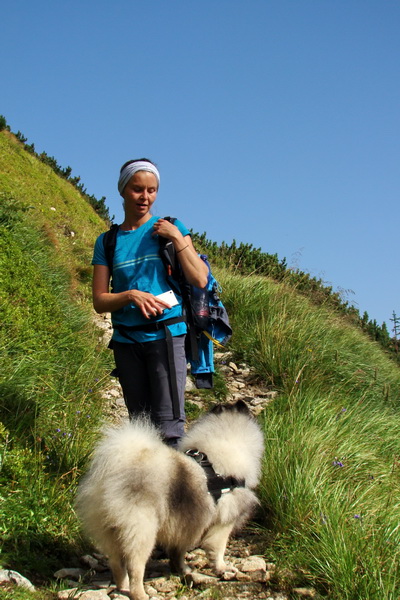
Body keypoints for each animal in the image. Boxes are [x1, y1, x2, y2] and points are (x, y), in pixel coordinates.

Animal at [75, 398, 264, 600]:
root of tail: (113, 472)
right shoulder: (223, 522)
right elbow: (217, 549)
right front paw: (222, 568)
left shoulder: (184, 525)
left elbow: (177, 552)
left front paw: (181, 569)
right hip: (142, 530)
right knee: (135, 566)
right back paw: (139, 593)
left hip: (111, 532)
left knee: (117, 564)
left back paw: (122, 587)